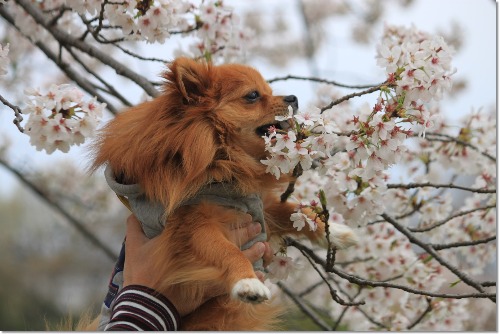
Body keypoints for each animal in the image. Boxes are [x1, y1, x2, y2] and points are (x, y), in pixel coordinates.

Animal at [91, 58, 326, 330]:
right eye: (253, 95)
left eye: (269, 90)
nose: (293, 97)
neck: (221, 161)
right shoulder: (194, 226)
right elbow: (228, 251)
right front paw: (247, 282)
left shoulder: (255, 205)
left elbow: (287, 210)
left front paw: (334, 231)